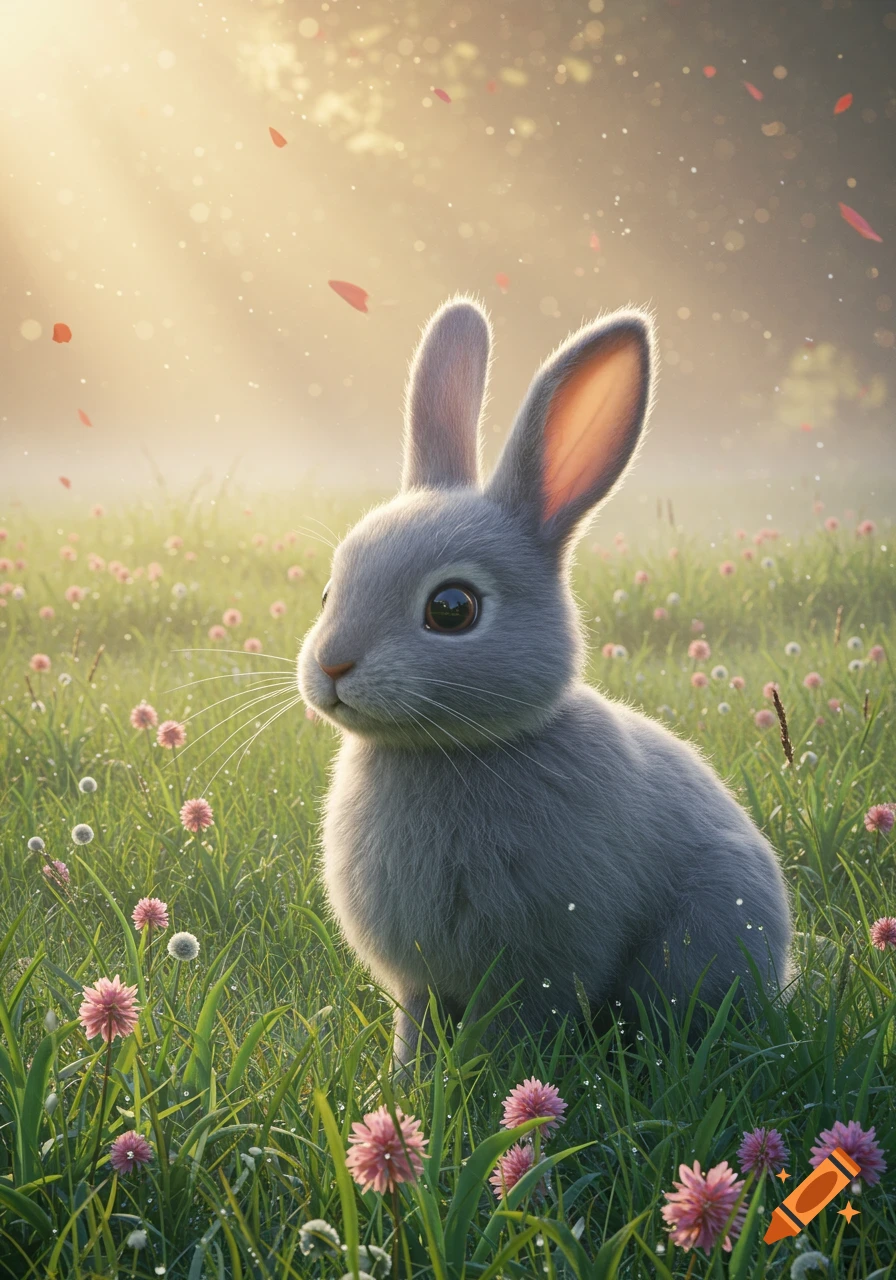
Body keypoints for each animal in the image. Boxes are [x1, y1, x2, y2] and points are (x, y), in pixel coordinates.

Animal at [297, 293, 795, 1069]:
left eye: (452, 609)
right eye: (327, 592)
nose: (331, 666)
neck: (449, 749)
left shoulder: (542, 966)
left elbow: (517, 1028)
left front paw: (496, 1082)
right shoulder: (419, 983)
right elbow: (417, 1027)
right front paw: (407, 1082)